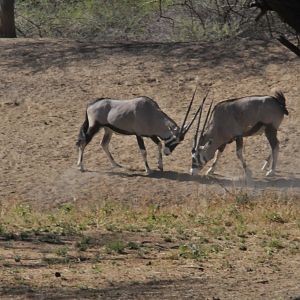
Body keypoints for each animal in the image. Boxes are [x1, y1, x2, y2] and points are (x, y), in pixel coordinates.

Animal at [76, 89, 205, 173]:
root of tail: (91, 104)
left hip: (108, 130)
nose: (167, 152)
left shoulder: (152, 135)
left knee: (103, 144)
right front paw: (148, 169)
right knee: (83, 143)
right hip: (94, 128)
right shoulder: (138, 135)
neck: (151, 114)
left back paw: (115, 164)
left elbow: (159, 144)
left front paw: (160, 166)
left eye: (178, 142)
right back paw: (80, 166)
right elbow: (143, 151)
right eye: (173, 139)